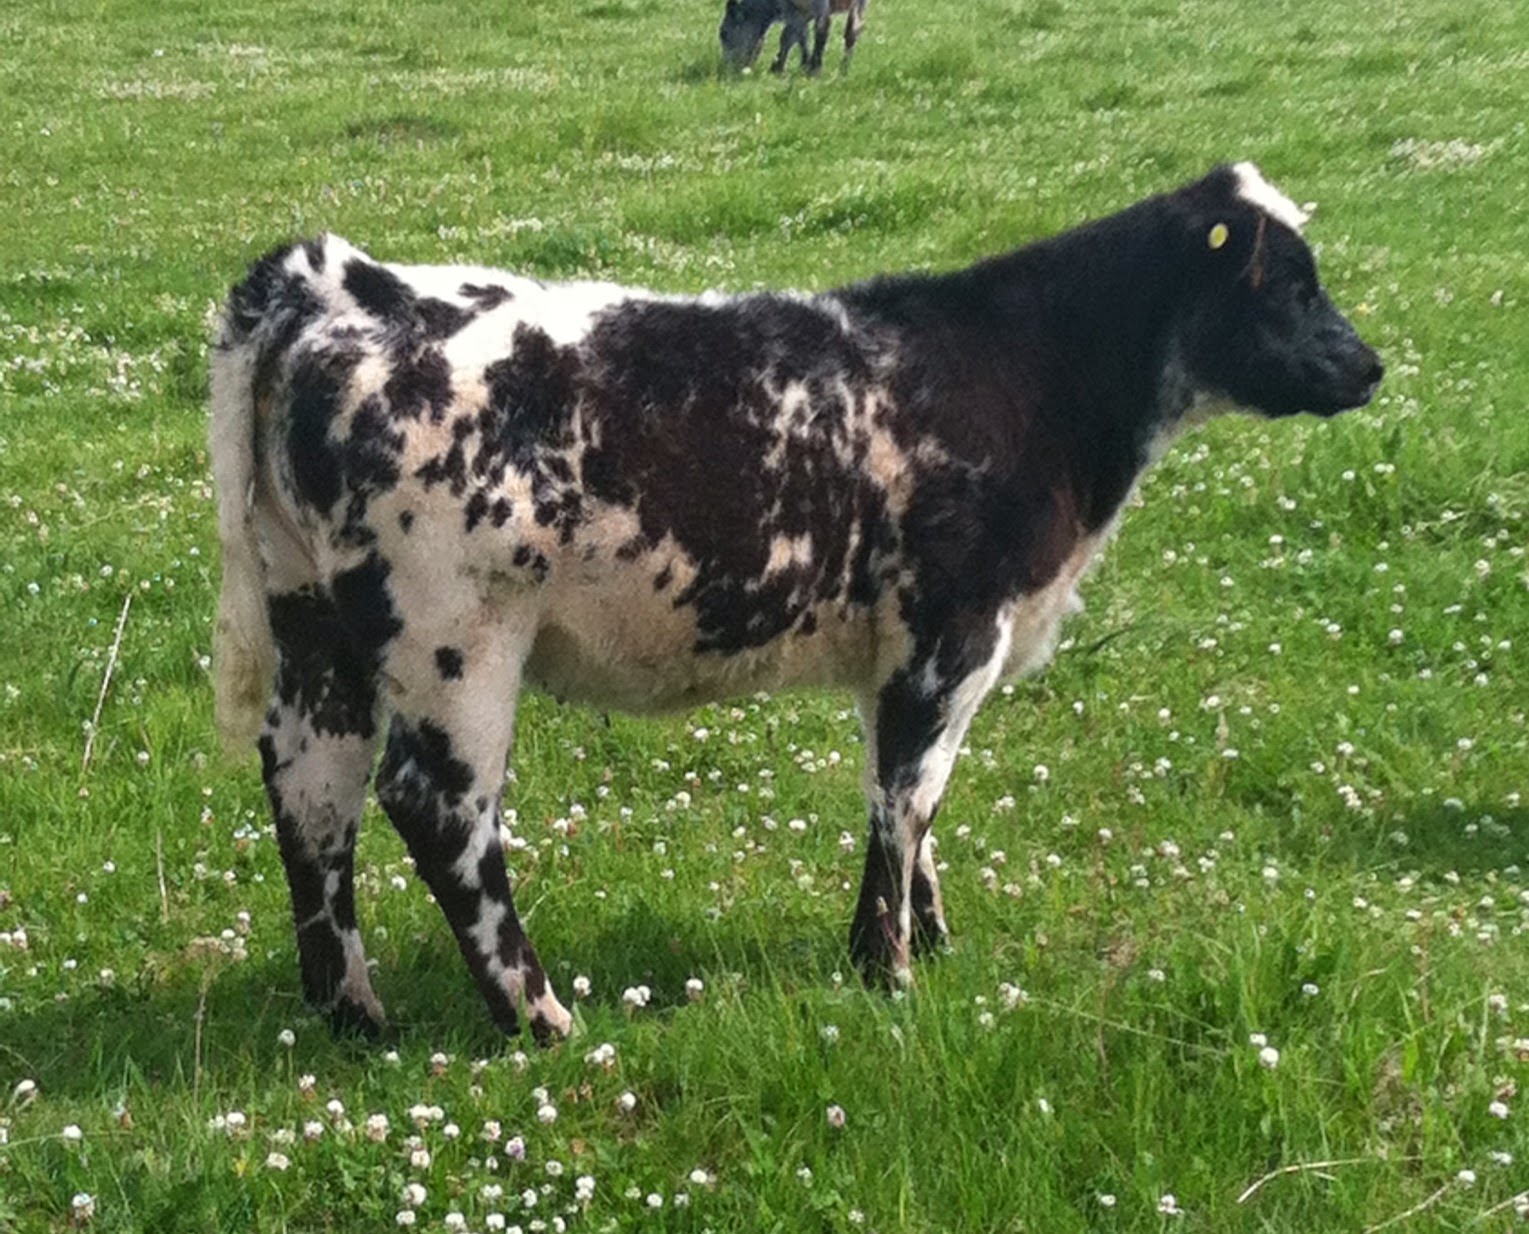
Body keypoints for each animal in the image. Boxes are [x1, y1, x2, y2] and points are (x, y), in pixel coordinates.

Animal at [210, 163, 1382, 1042]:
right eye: (1288, 283)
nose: (1368, 367)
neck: (1029, 376)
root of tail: (348, 282)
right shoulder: (954, 630)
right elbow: (906, 798)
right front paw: (887, 970)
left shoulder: (906, 650)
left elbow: (908, 798)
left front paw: (928, 937)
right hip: (456, 640)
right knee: (436, 808)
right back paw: (537, 1016)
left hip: (314, 620)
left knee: (311, 787)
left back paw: (351, 1012)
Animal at [719, 0, 868, 75]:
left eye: (723, 33)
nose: (727, 68)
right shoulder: (800, 11)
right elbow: (794, 36)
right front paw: (779, 66)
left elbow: (796, 35)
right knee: (852, 31)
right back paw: (843, 70)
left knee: (826, 29)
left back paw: (818, 69)